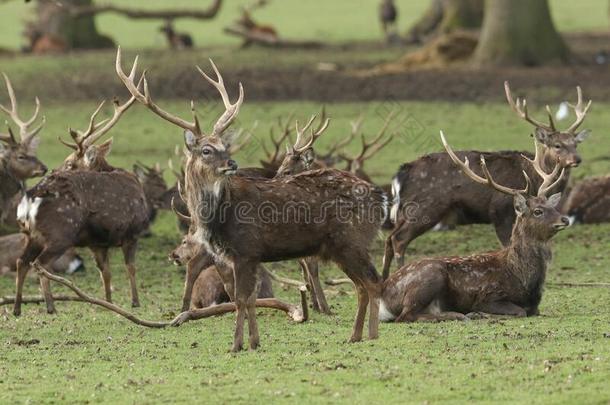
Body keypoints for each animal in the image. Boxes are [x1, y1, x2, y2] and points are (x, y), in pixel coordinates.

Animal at [117, 47, 384, 350]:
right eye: (207, 150)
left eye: (225, 146)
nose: (232, 163)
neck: (219, 216)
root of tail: (381, 197)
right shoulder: (240, 257)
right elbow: (246, 299)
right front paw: (253, 342)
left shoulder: (246, 249)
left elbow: (242, 298)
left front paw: (236, 345)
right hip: (344, 247)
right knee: (362, 285)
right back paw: (356, 335)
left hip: (352, 241)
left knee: (373, 282)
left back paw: (370, 334)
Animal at [378, 133, 568, 322]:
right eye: (538, 211)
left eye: (552, 207)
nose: (565, 219)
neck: (523, 279)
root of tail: (383, 298)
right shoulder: (489, 295)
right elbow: (519, 311)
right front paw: (478, 313)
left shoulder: (536, 307)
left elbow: (534, 311)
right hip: (430, 273)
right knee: (406, 315)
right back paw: (459, 315)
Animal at [384, 82, 588, 278]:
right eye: (557, 145)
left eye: (576, 144)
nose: (577, 159)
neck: (536, 176)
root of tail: (401, 173)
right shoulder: (500, 212)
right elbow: (508, 246)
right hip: (425, 207)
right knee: (399, 239)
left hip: (405, 210)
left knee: (389, 238)